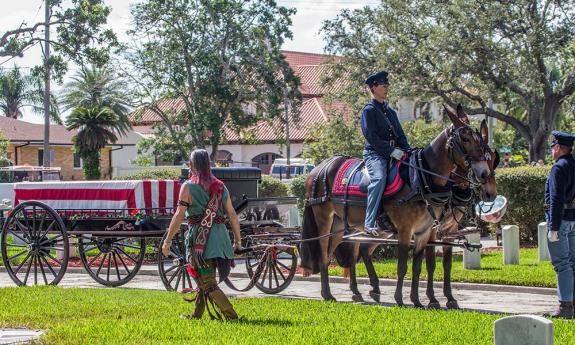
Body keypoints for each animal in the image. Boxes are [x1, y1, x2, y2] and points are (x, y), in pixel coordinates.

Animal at [300, 105, 498, 304]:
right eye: (465, 139)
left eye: (492, 158)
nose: (485, 178)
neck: (421, 179)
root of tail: (320, 167)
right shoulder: (408, 230)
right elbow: (408, 265)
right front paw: (405, 299)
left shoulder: (431, 230)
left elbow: (424, 266)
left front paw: (422, 300)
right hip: (324, 219)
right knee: (325, 253)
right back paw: (329, 293)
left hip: (342, 224)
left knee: (348, 252)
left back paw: (362, 291)